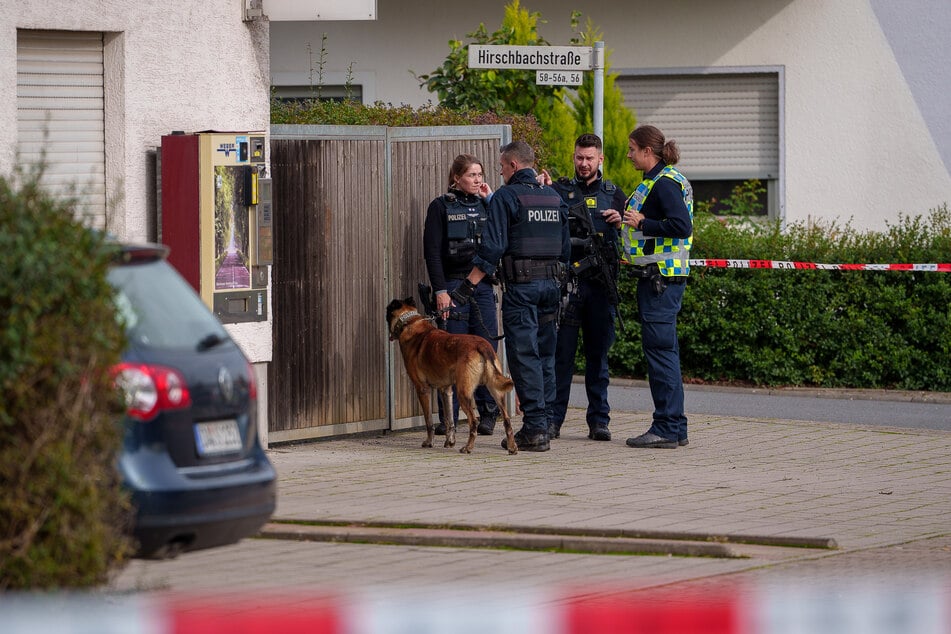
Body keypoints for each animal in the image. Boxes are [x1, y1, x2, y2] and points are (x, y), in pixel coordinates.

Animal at [386, 298, 520, 452]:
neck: (410, 322)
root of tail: (481, 345)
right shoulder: (446, 390)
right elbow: (450, 419)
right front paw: (449, 441)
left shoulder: (423, 390)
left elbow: (429, 421)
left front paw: (429, 442)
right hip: (496, 392)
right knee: (507, 420)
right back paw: (512, 447)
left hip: (464, 393)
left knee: (474, 421)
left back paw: (468, 447)